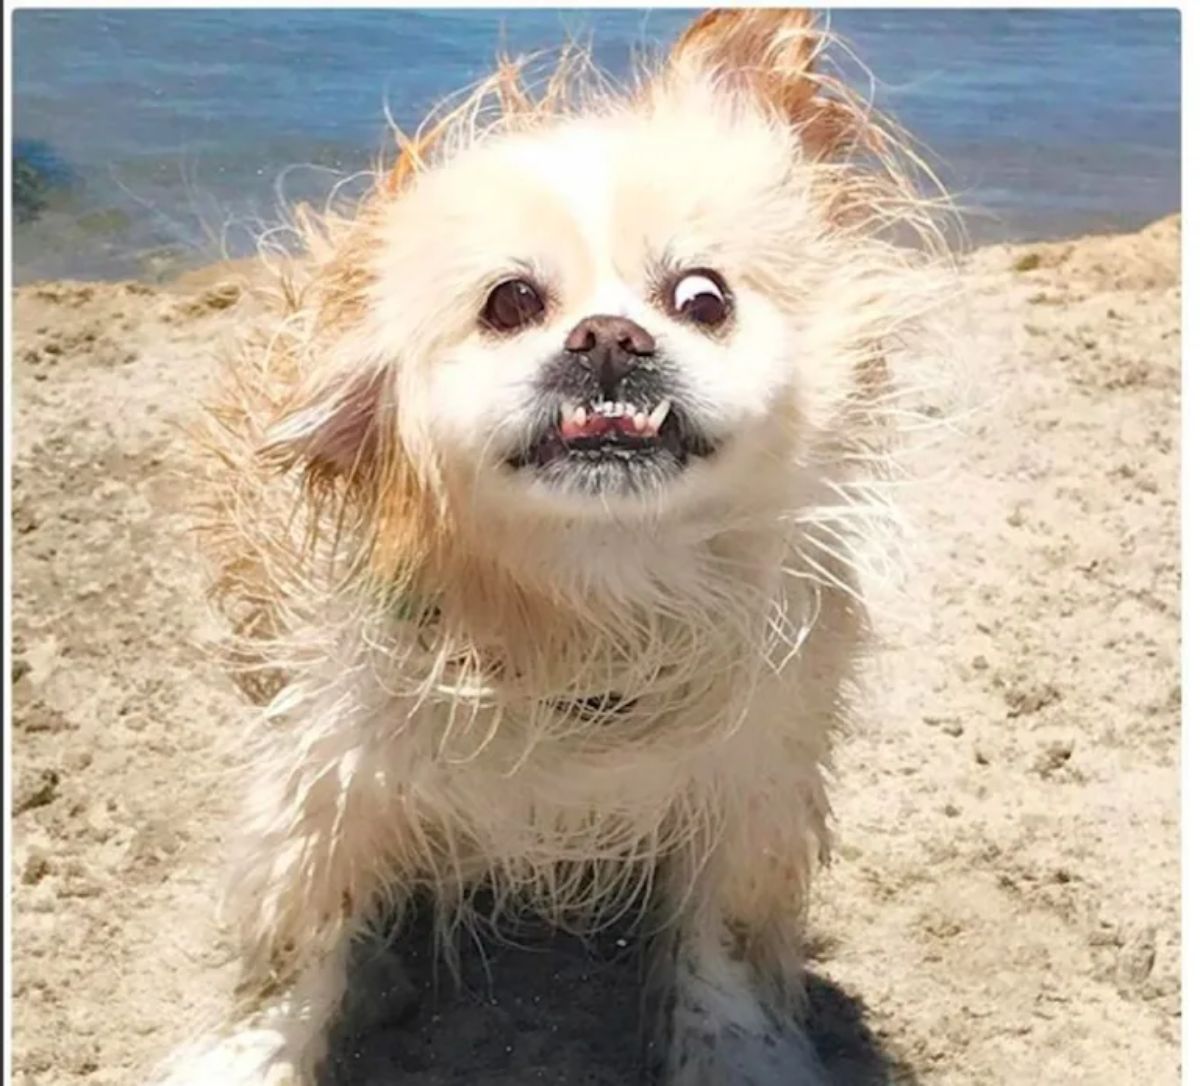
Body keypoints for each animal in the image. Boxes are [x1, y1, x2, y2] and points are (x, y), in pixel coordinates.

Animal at [169, 10, 950, 1084]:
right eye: (510, 302)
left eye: (704, 297)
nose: (610, 337)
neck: (598, 608)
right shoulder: (327, 785)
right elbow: (291, 956)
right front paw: (251, 1056)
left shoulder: (751, 785)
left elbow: (721, 948)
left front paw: (738, 1053)